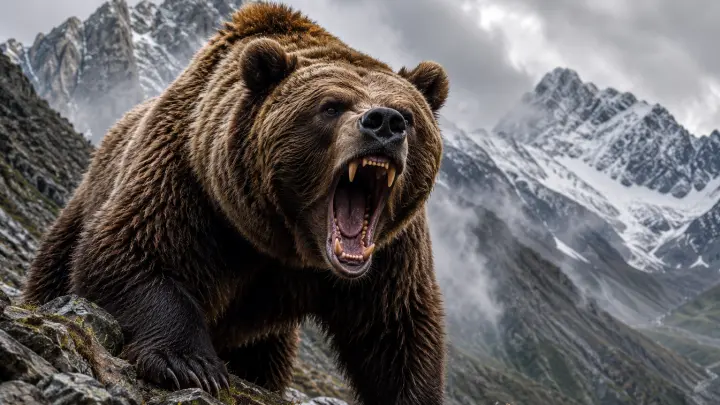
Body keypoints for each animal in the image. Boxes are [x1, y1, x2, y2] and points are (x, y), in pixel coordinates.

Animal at [23, 2, 450, 404]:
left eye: (409, 115)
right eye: (331, 106)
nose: (385, 123)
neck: (284, 243)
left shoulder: (391, 253)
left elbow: (398, 329)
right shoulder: (190, 181)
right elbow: (130, 253)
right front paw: (190, 365)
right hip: (82, 206)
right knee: (56, 267)